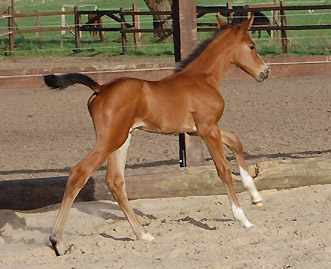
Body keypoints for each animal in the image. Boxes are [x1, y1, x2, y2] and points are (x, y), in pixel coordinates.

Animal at [44, 17, 270, 255]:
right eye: (252, 46)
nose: (265, 71)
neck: (202, 79)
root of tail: (101, 88)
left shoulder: (200, 129)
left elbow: (236, 141)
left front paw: (255, 196)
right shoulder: (208, 129)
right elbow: (223, 169)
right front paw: (243, 218)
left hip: (122, 139)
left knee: (115, 181)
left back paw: (144, 235)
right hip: (110, 140)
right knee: (79, 172)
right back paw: (57, 241)